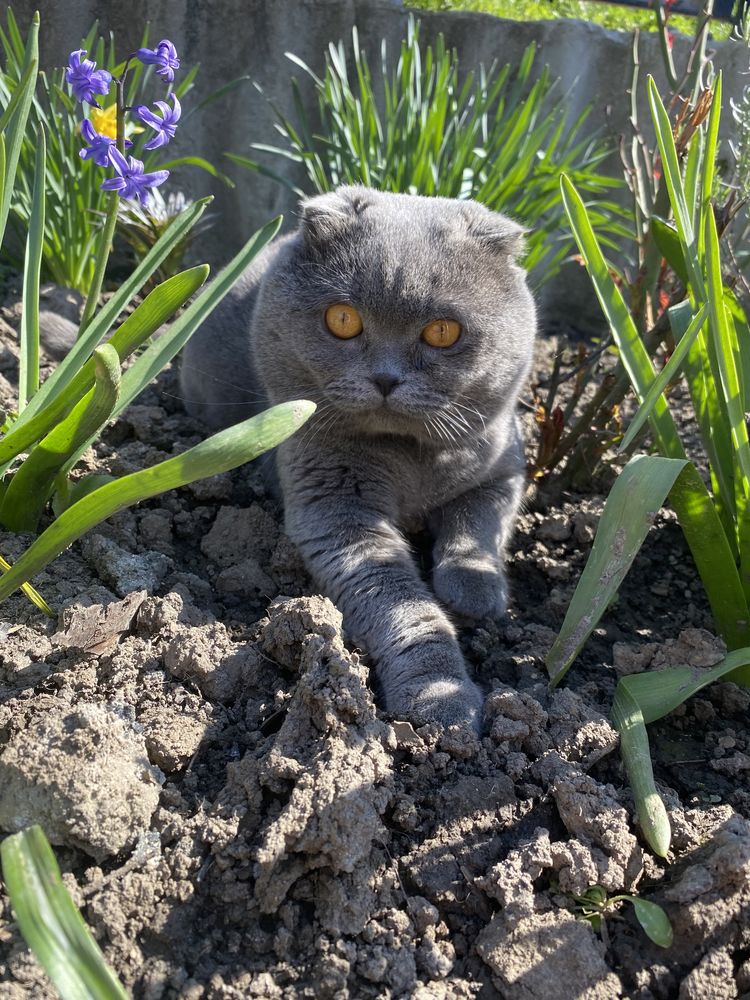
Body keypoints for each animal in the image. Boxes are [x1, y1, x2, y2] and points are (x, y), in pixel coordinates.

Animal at [181, 186, 536, 728]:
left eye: (443, 332)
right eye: (343, 320)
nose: (386, 378)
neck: (411, 459)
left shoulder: (504, 461)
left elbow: (480, 520)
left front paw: (474, 590)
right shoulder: (332, 506)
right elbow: (401, 602)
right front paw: (441, 698)